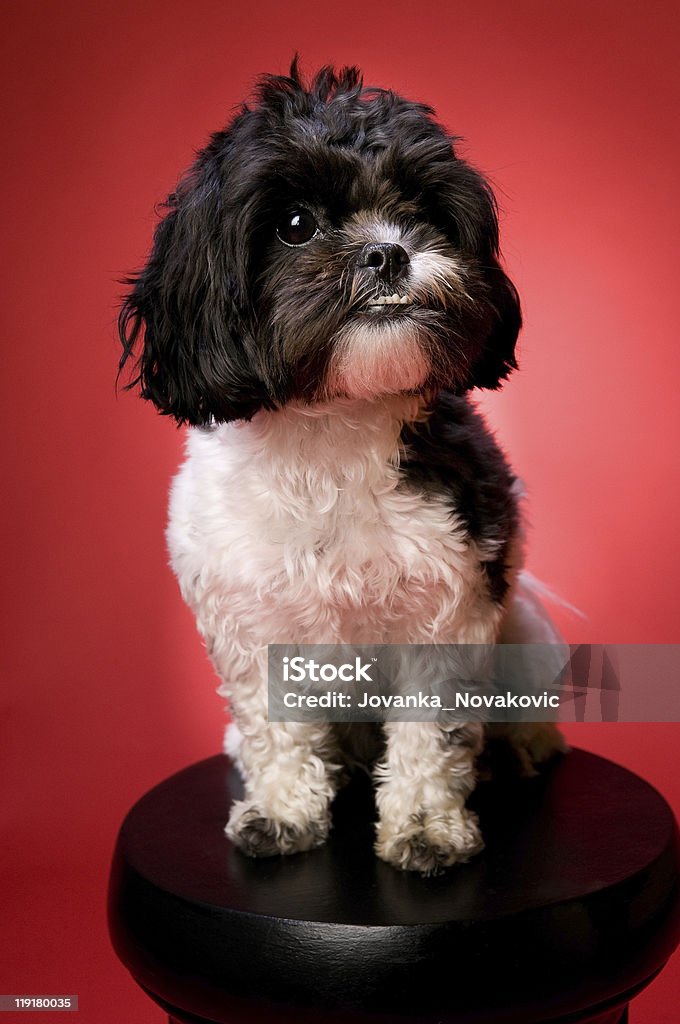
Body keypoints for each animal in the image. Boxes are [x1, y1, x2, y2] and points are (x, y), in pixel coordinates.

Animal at [119, 59, 565, 872]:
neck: (330, 433)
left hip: (518, 629)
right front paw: (281, 810)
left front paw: (425, 826)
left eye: (423, 211)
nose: (388, 252)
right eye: (296, 224)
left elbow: (431, 734)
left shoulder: (447, 610)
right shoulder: (250, 624)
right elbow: (274, 730)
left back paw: (518, 749)